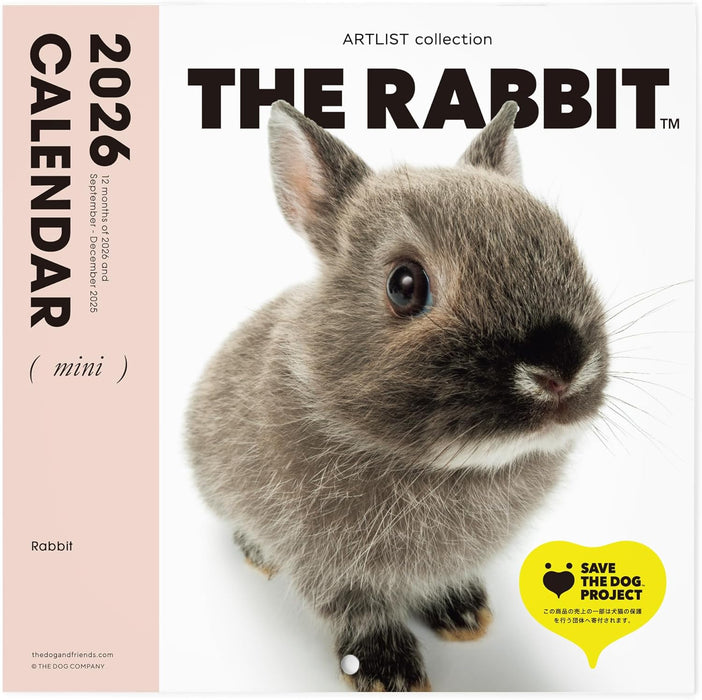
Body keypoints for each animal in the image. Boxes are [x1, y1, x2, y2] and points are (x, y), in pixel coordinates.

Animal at [186, 99, 609, 692]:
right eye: (405, 285)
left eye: (563, 244)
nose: (561, 369)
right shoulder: (325, 561)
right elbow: (355, 608)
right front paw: (389, 672)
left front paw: (463, 614)